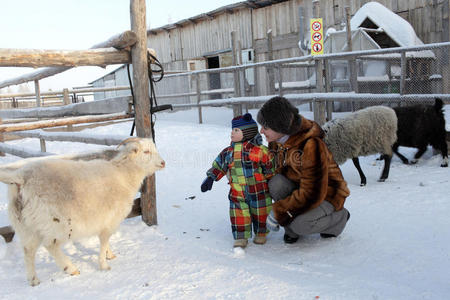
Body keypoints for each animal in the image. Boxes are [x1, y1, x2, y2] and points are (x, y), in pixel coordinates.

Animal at [0, 138, 164, 286]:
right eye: (146, 151)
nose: (163, 163)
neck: (123, 175)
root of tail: (21, 177)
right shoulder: (110, 220)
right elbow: (104, 240)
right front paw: (104, 264)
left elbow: (106, 241)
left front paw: (109, 255)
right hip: (55, 222)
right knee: (50, 245)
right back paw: (71, 268)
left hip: (25, 225)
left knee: (28, 250)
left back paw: (33, 280)